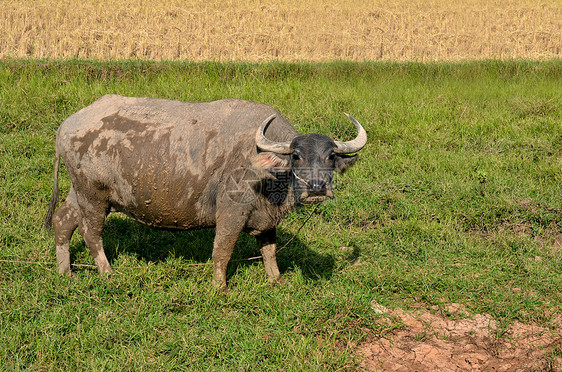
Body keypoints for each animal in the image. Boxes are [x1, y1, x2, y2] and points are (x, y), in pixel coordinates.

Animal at [44, 96, 368, 288]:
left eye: (330, 156)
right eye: (297, 156)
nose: (317, 189)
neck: (267, 171)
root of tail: (65, 127)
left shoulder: (266, 219)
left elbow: (269, 250)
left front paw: (276, 280)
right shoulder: (231, 212)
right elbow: (222, 250)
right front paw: (220, 287)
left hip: (78, 192)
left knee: (62, 222)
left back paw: (65, 272)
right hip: (94, 196)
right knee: (91, 233)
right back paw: (107, 272)